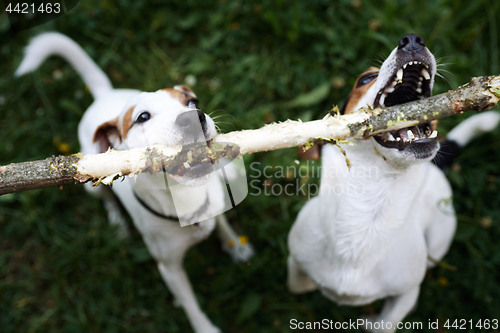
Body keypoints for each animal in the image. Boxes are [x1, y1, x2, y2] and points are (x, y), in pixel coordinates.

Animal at [16, 33, 254, 332]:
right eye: (142, 117)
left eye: (192, 102)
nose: (193, 117)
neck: (185, 199)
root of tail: (104, 96)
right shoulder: (169, 269)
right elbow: (191, 306)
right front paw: (205, 328)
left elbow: (224, 226)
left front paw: (237, 246)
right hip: (90, 184)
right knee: (106, 200)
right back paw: (117, 223)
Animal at [288, 34, 498, 332]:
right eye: (365, 79)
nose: (412, 40)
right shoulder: (295, 259)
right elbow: (298, 286)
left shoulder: (406, 293)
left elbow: (383, 323)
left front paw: (367, 320)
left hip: (438, 239)